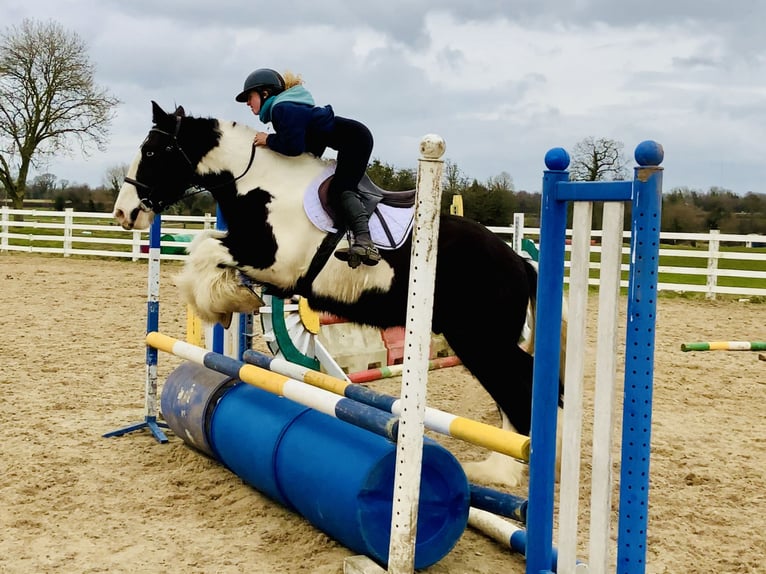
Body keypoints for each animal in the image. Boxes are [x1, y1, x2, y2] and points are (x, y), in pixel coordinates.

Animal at [114, 101, 568, 488]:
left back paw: (509, 468)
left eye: (152, 151)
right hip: (481, 342)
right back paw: (511, 466)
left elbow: (204, 250)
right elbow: (205, 246)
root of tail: (518, 262)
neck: (263, 185)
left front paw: (221, 302)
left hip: (482, 341)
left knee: (519, 389)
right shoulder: (252, 253)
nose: (123, 213)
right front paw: (229, 300)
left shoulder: (274, 261)